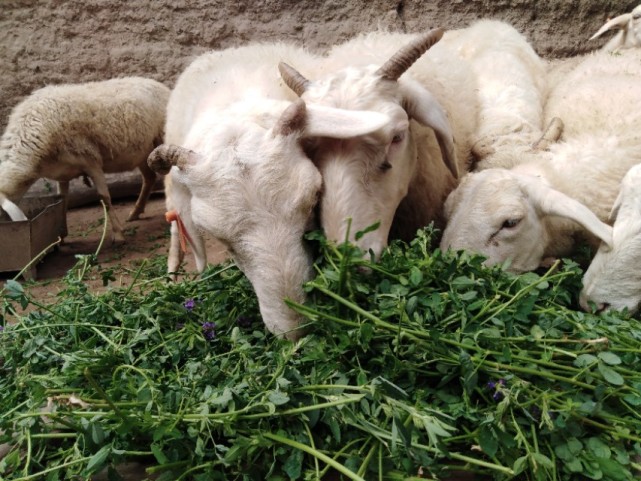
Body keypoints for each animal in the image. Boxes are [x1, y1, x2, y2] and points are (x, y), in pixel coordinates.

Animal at [0, 78, 170, 240]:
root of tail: (159, 84)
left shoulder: (91, 161)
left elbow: (105, 199)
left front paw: (118, 234)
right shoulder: (62, 172)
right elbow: (62, 202)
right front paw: (61, 235)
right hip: (143, 153)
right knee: (149, 178)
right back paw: (135, 212)